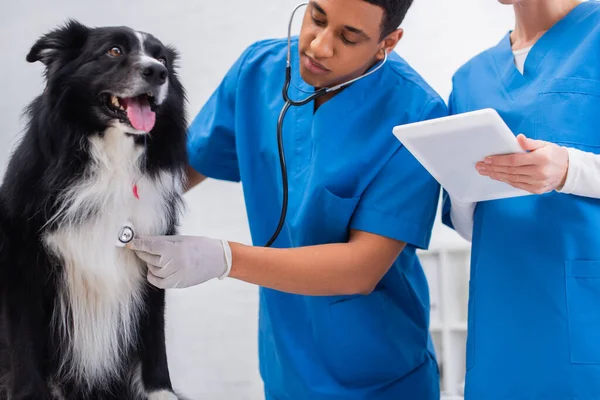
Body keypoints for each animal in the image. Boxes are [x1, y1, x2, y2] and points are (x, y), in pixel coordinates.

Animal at [0, 19, 188, 400]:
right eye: (114, 51)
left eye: (161, 57)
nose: (157, 72)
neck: (111, 159)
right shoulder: (21, 265)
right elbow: (23, 342)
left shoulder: (154, 260)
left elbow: (154, 336)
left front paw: (161, 391)